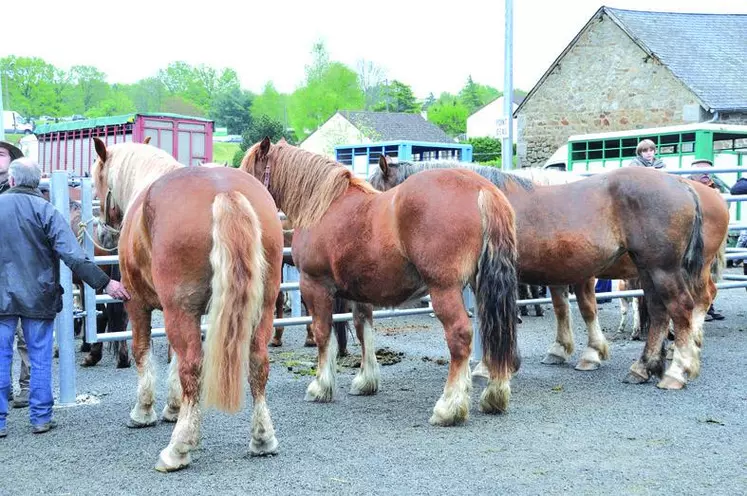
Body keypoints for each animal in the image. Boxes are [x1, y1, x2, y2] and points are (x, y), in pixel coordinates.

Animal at [90, 138, 284, 470]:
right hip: (264, 307)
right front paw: (173, 408)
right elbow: (172, 358)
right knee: (258, 363)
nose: (103, 234)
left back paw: (178, 448)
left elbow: (144, 353)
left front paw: (144, 411)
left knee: (193, 365)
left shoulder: (138, 304)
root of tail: (224, 191)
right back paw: (262, 438)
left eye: (98, 182)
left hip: (179, 311)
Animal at [241, 137, 520, 426]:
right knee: (496, 329)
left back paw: (449, 407)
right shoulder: (358, 291)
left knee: (460, 335)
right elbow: (363, 328)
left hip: (444, 288)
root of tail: (481, 189)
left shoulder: (314, 285)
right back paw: (494, 396)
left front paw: (321, 386)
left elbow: (322, 333)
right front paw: (366, 381)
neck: (323, 206)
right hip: (481, 285)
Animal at [372, 158, 728, 388]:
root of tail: (683, 185)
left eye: (379, 193)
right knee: (658, 311)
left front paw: (492, 367)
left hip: (664, 269)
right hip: (650, 270)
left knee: (683, 307)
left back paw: (677, 371)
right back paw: (644, 367)